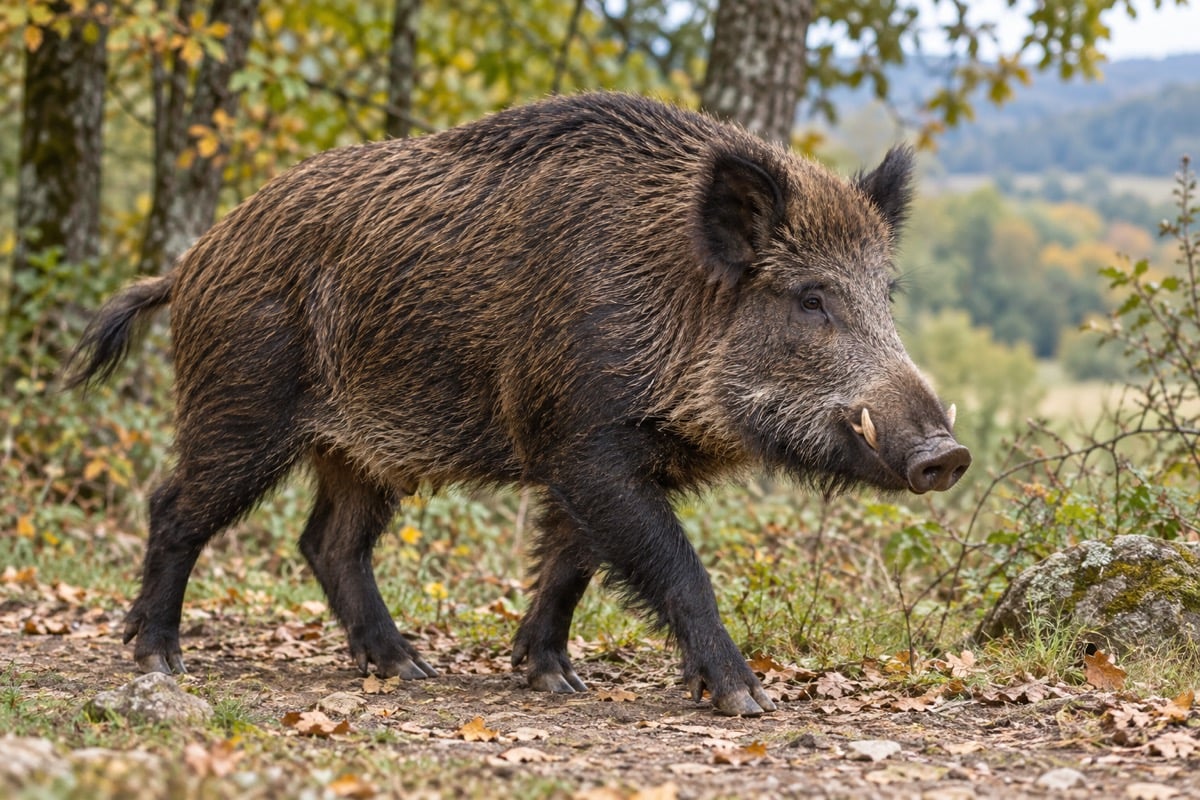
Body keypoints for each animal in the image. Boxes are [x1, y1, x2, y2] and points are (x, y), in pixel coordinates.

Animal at [68, 92, 969, 716]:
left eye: (886, 293)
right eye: (812, 298)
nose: (947, 454)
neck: (670, 306)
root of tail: (192, 262)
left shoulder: (586, 456)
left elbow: (570, 565)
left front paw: (554, 680)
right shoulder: (585, 443)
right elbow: (672, 565)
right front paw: (749, 700)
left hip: (359, 447)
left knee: (328, 541)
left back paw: (409, 667)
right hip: (240, 405)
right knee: (175, 506)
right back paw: (159, 660)